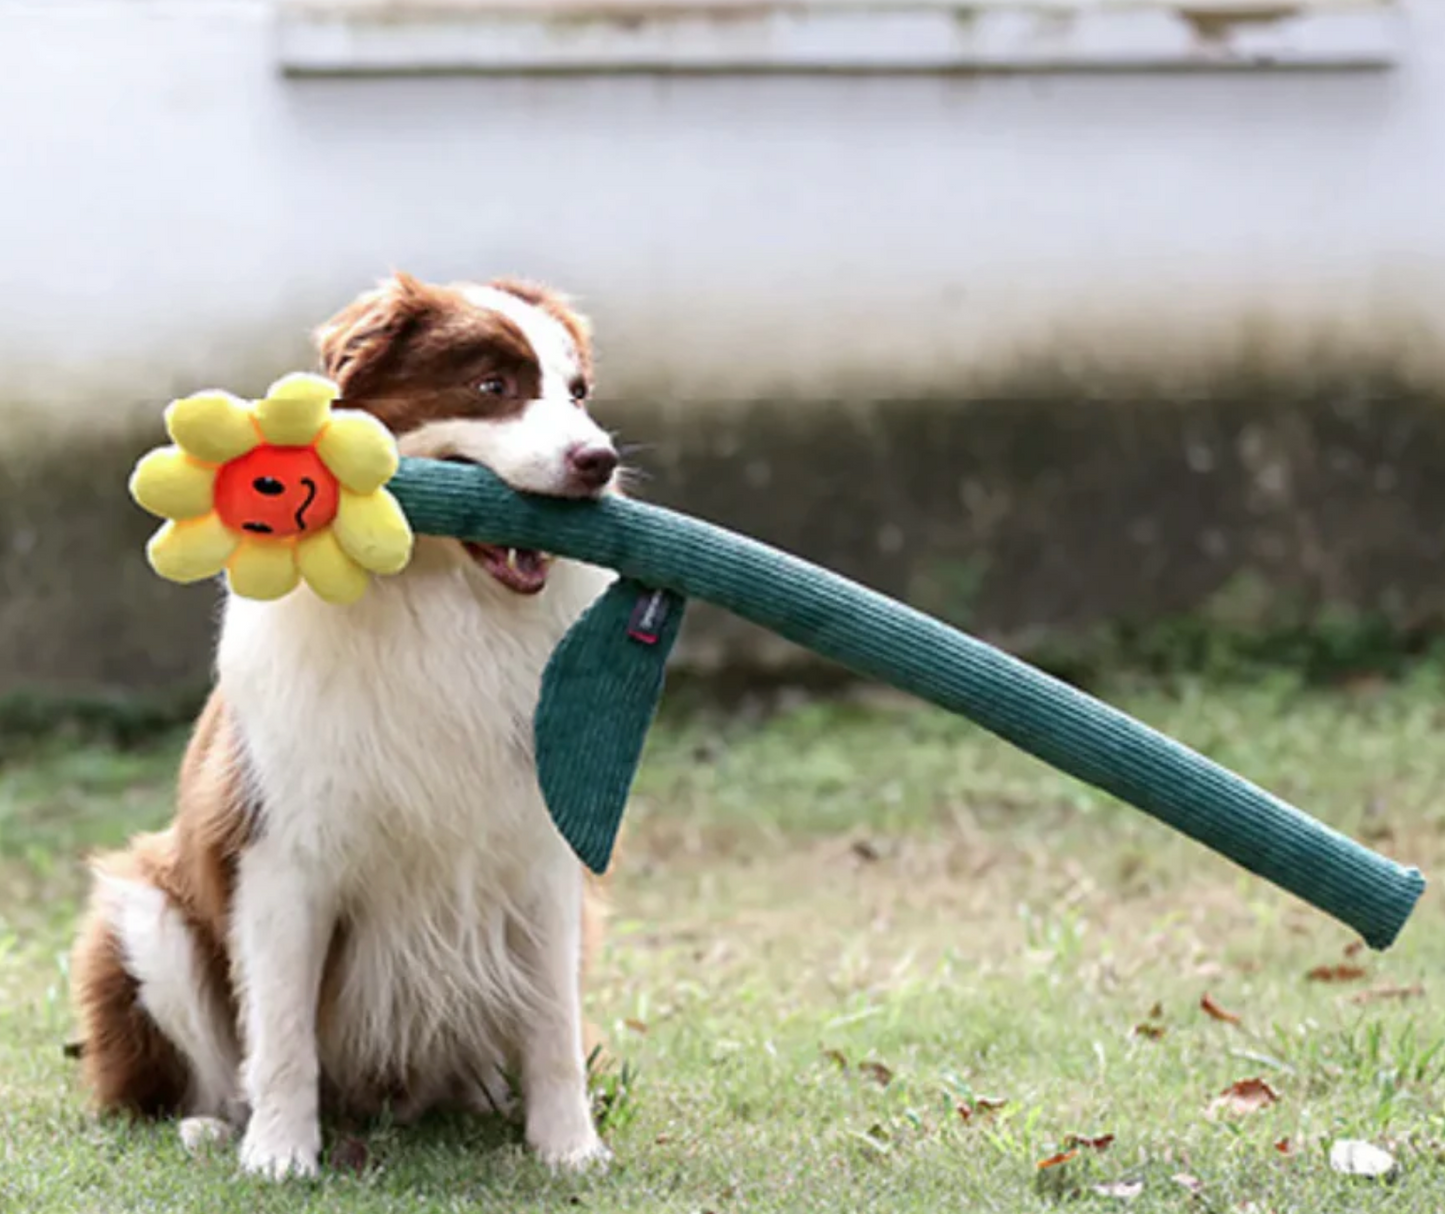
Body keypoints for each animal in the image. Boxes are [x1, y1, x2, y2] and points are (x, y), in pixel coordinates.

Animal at [70, 273, 621, 1173]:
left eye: (576, 394)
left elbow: (553, 1024)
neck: (437, 603)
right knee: (197, 1073)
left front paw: (570, 1151)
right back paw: (213, 1126)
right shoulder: (280, 854)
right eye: (491, 386)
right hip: (144, 913)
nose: (598, 461)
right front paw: (279, 1158)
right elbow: (284, 1029)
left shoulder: (542, 856)